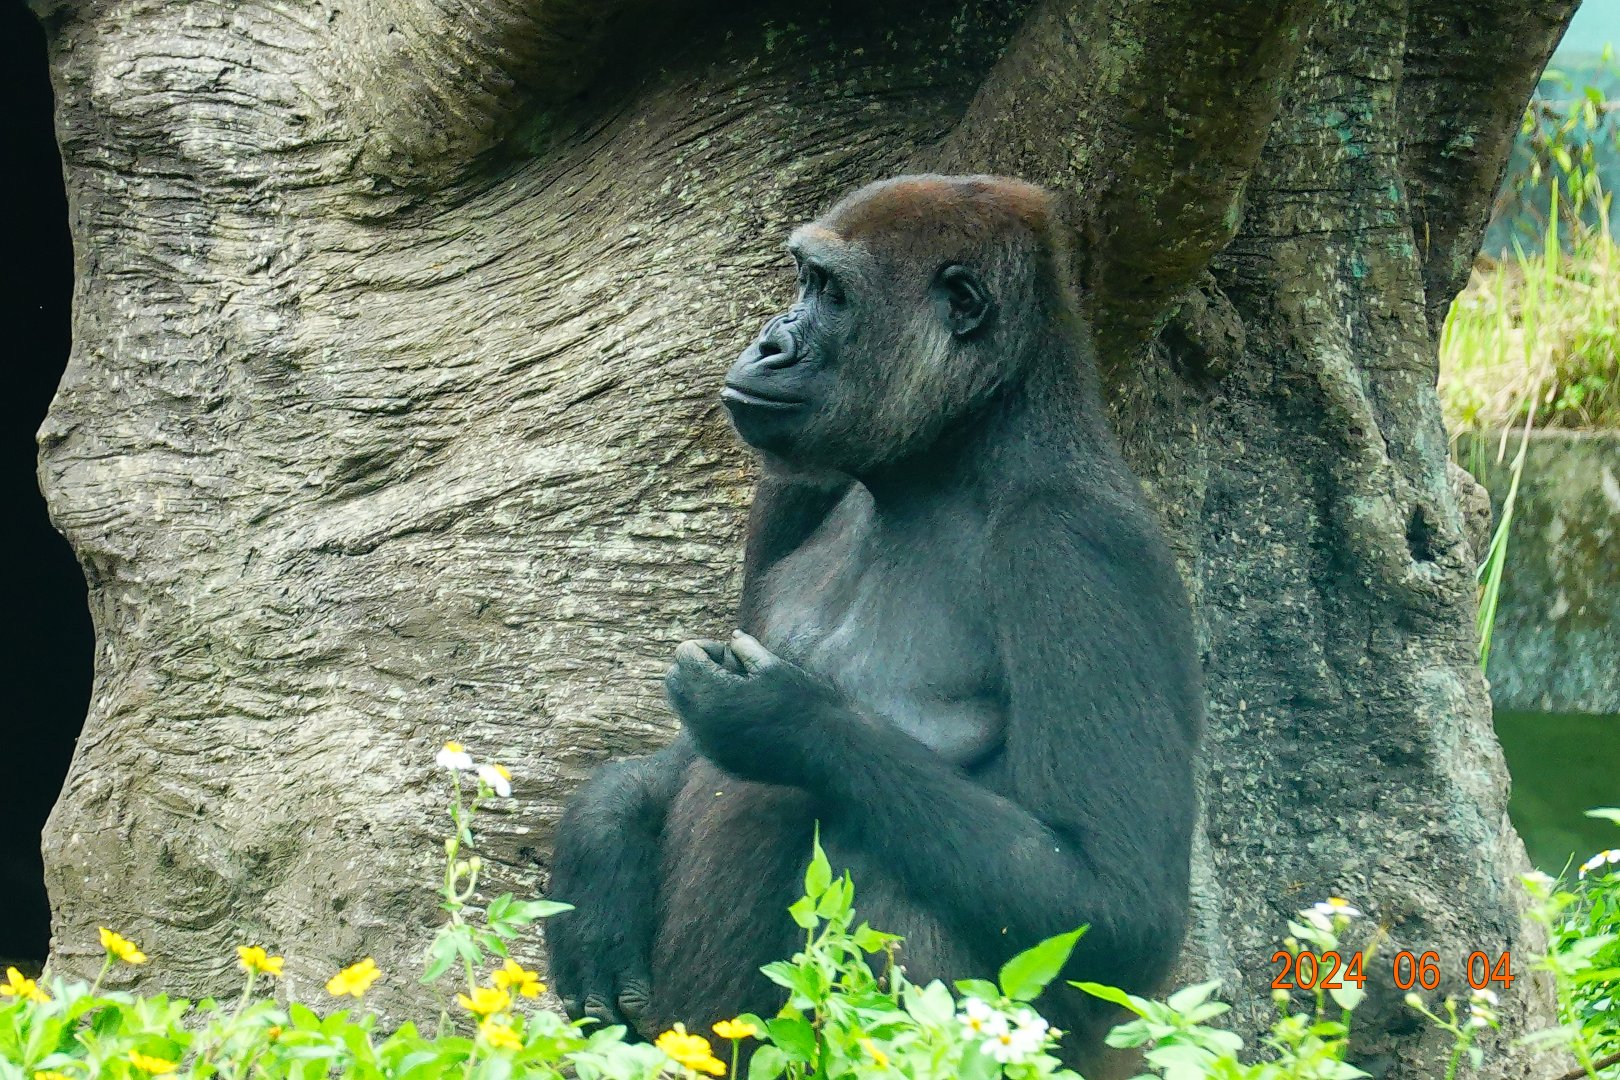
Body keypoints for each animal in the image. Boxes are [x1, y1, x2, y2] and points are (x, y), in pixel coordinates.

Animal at [545, 175, 1202, 1077]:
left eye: (830, 292)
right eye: (801, 277)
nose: (769, 342)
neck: (948, 463)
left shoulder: (1078, 547)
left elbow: (1121, 904)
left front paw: (787, 720)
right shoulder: (793, 486)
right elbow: (681, 757)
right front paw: (600, 841)